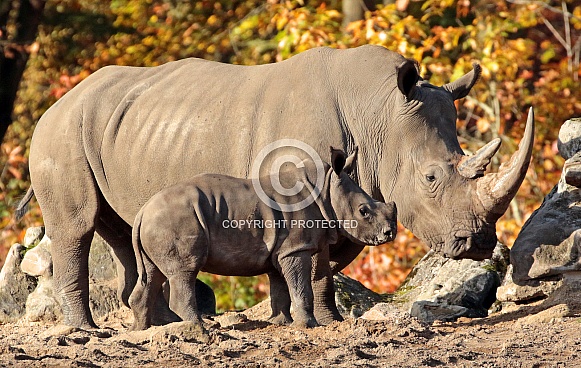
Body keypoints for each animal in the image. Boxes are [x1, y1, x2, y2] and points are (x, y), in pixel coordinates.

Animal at [129, 147, 396, 330]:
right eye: (363, 211)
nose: (389, 233)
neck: (326, 191)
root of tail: (141, 213)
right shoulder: (295, 249)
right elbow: (301, 288)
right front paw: (309, 325)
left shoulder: (282, 250)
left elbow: (280, 287)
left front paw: (281, 322)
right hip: (174, 220)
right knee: (184, 272)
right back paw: (202, 330)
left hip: (158, 223)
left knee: (152, 273)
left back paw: (142, 330)